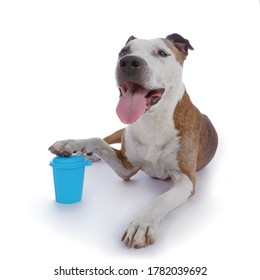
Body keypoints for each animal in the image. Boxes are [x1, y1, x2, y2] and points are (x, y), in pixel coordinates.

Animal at [48, 33, 217, 249]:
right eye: (124, 52)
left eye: (162, 53)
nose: (129, 62)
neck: (152, 120)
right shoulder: (126, 168)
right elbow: (99, 142)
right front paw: (70, 143)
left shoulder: (185, 179)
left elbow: (161, 198)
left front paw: (142, 224)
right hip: (119, 131)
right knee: (104, 138)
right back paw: (88, 154)